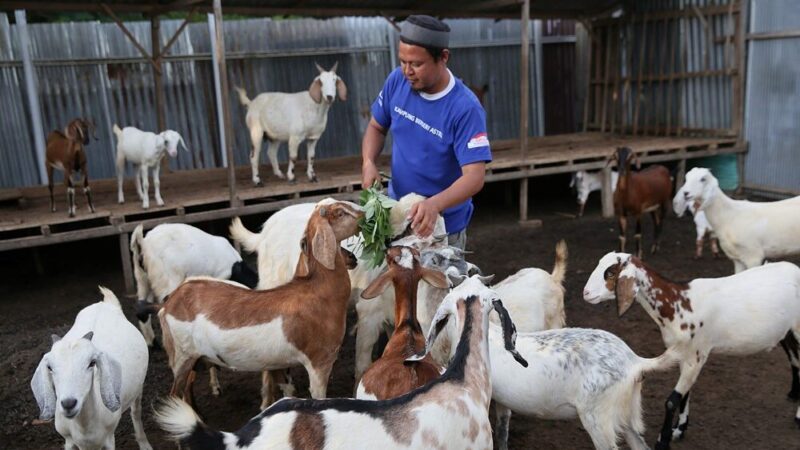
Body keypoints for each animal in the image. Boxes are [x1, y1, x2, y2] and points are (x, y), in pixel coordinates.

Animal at [30, 288, 152, 450]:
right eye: (50, 367)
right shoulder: (68, 440)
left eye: (92, 363)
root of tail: (104, 303)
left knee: (136, 411)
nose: (68, 403)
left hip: (139, 386)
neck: (84, 430)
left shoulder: (109, 439)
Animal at [154, 200, 366, 412]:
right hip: (183, 357)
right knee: (176, 394)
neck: (317, 291)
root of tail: (169, 303)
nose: (364, 215)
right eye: (340, 213)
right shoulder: (319, 363)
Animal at [580, 251, 800, 448]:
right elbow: (685, 395)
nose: (586, 293)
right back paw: (793, 393)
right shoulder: (683, 356)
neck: (678, 303)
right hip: (786, 331)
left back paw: (798, 415)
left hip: (798, 327)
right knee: (795, 358)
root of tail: (794, 268)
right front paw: (680, 429)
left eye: (610, 272)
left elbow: (671, 400)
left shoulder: (697, 356)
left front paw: (663, 441)